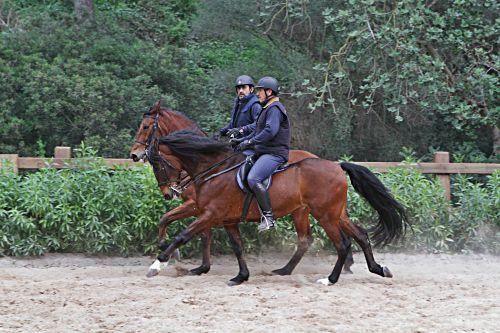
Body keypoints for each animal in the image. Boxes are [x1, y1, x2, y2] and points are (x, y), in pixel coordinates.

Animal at [130, 101, 356, 274]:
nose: (134, 154)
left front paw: (169, 260)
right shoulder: (204, 209)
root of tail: (333, 165)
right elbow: (170, 220)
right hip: (309, 210)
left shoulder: (201, 207)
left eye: (146, 127)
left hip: (317, 211)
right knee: (317, 237)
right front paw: (194, 263)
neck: (211, 166)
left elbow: (192, 232)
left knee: (324, 237)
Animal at [134, 128, 410, 284]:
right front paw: (241, 277)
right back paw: (378, 269)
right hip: (334, 213)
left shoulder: (210, 214)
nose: (168, 193)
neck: (213, 169)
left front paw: (157, 264)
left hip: (324, 215)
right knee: (359, 235)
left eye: (157, 164)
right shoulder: (225, 219)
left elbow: (182, 235)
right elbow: (236, 246)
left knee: (341, 244)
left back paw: (330, 280)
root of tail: (336, 165)